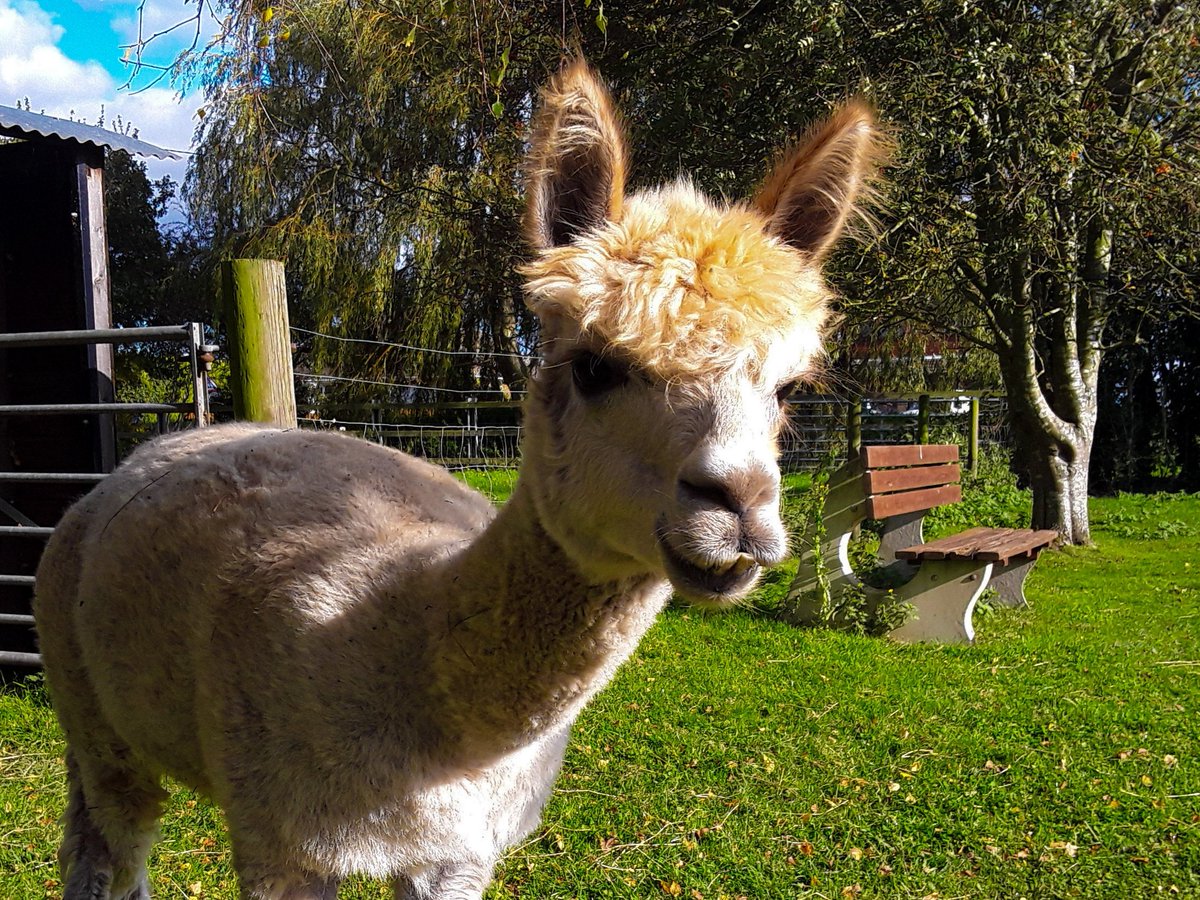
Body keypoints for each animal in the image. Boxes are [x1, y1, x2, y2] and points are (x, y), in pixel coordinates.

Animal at [33, 60, 880, 899]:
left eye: (789, 389)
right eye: (594, 366)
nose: (740, 506)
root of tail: (153, 452)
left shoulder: (456, 852)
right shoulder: (281, 840)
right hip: (91, 712)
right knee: (107, 851)